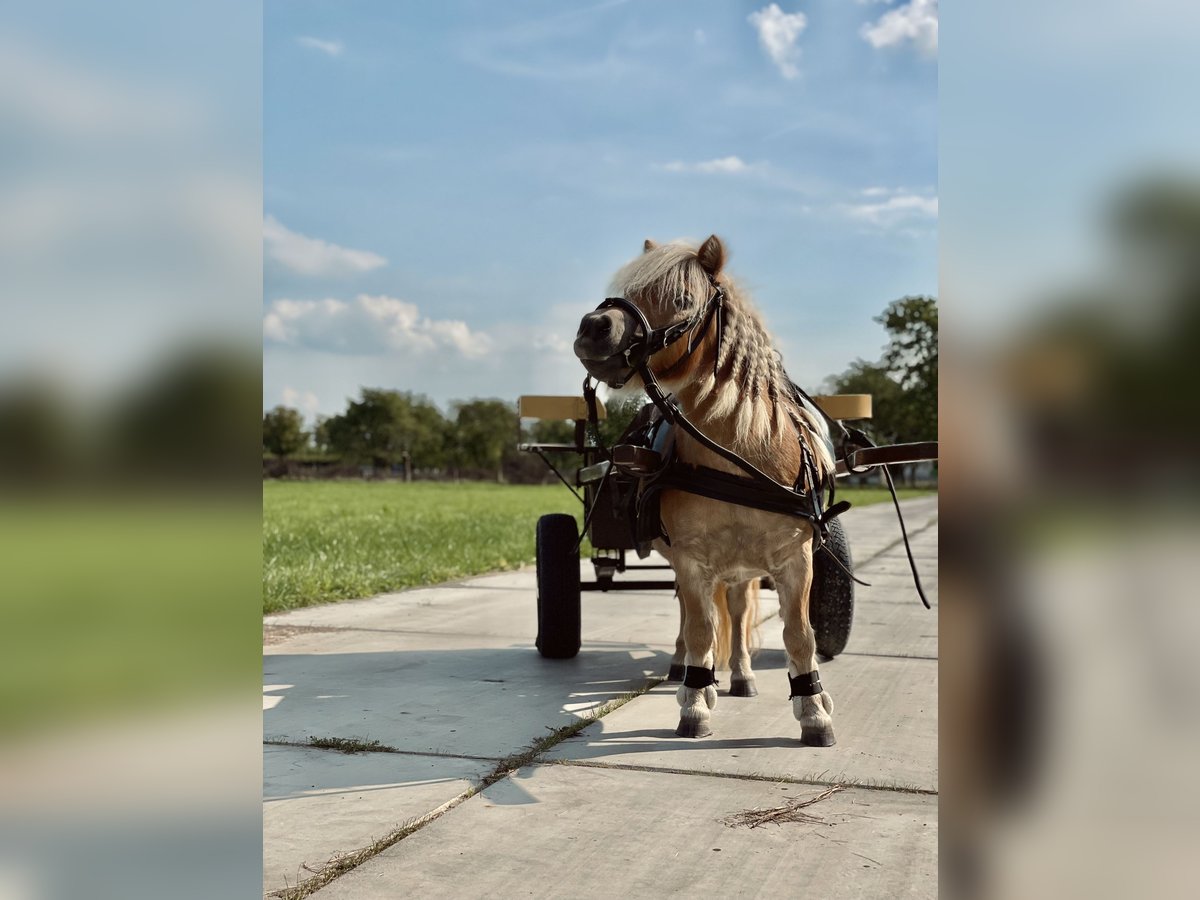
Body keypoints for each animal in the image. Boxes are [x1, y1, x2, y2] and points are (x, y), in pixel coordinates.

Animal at [571, 234, 835, 748]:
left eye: (679, 299)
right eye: (627, 289)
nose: (594, 326)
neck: (740, 458)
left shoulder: (796, 560)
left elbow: (799, 635)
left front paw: (813, 711)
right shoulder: (692, 560)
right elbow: (698, 631)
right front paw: (694, 703)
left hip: (744, 570)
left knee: (737, 611)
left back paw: (741, 675)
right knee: (695, 617)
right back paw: (685, 669)